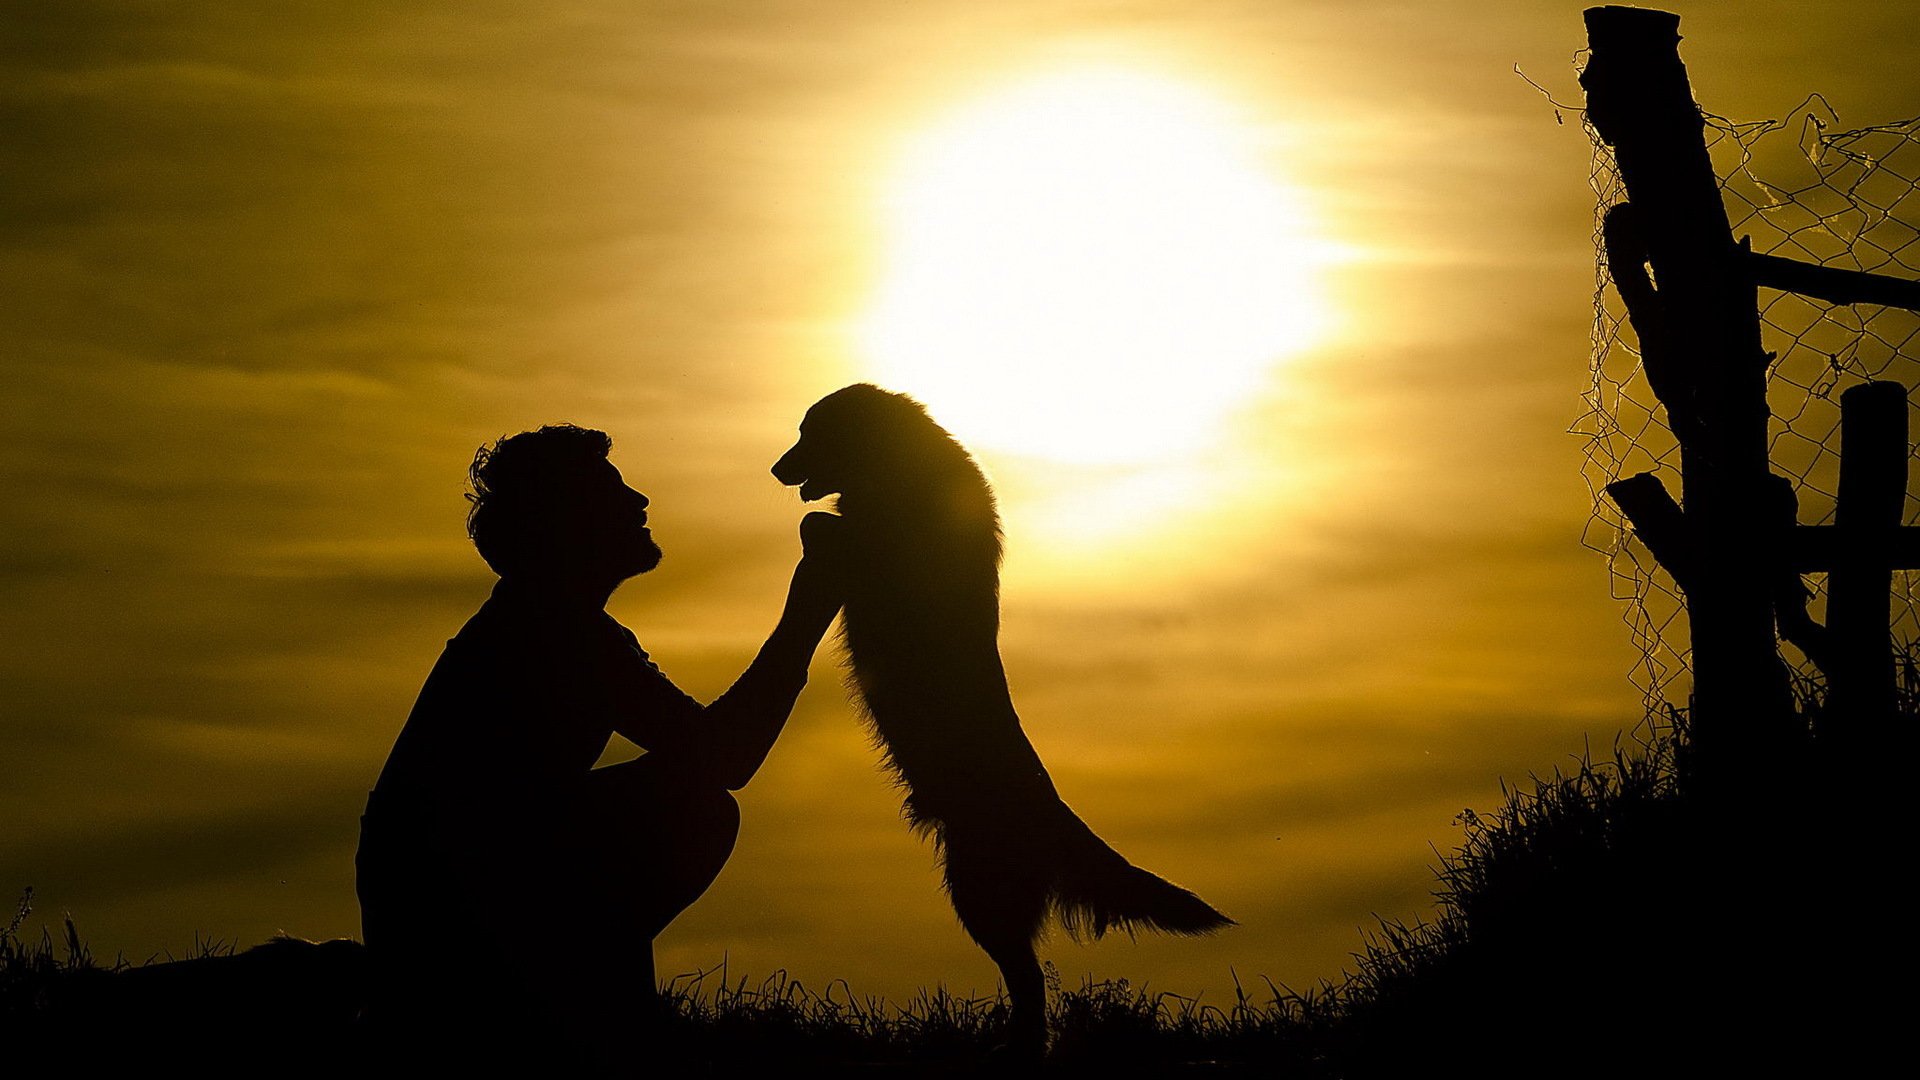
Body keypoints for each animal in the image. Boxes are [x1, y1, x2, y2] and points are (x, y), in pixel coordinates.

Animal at [768, 384, 1228, 1053]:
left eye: (810, 433)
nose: (777, 469)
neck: (899, 470)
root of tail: (1053, 811)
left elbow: (821, 524)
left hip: (980, 893)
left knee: (1030, 985)